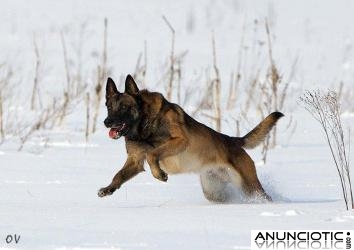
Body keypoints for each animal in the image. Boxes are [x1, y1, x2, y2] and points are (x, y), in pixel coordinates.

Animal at [97, 75, 284, 202]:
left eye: (124, 107)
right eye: (109, 107)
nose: (107, 122)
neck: (144, 125)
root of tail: (232, 140)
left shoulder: (180, 141)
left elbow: (152, 154)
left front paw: (159, 174)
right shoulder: (135, 160)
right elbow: (119, 175)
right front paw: (108, 189)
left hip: (249, 186)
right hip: (214, 191)